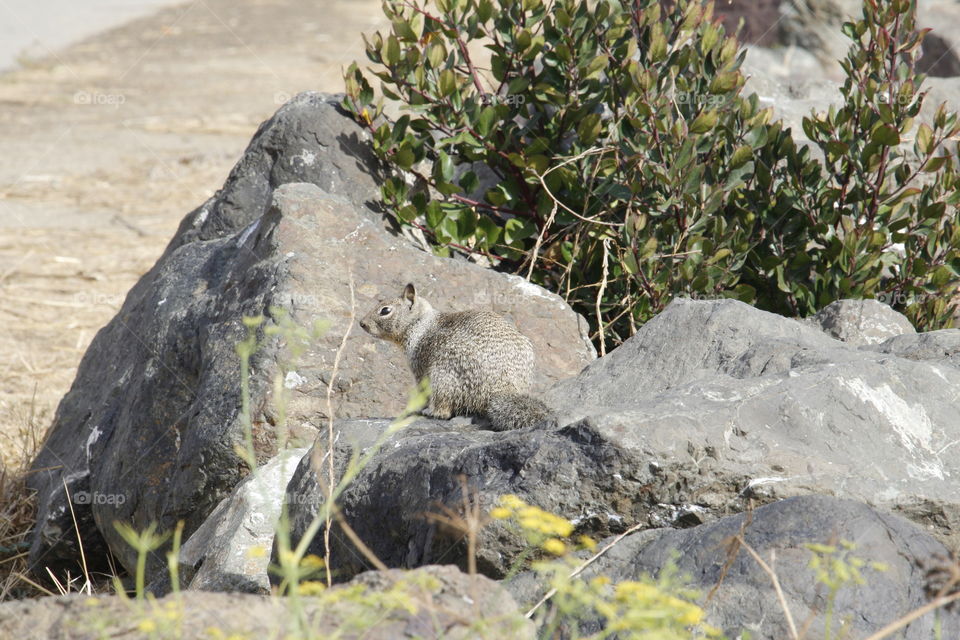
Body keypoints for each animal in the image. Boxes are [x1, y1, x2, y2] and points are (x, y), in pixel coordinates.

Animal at [359, 283, 557, 431]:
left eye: (385, 310)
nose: (361, 323)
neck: (420, 322)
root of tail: (501, 389)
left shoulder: (420, 367)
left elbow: (423, 394)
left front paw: (418, 408)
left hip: (441, 376)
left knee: (444, 410)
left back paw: (429, 412)